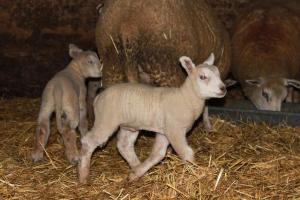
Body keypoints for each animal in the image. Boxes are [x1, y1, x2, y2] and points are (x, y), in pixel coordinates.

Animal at [78, 52, 226, 183]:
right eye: (203, 77)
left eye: (219, 74)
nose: (223, 88)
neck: (186, 98)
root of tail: (98, 97)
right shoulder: (175, 130)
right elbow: (186, 153)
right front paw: (196, 173)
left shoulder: (165, 132)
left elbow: (158, 154)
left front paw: (137, 173)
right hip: (106, 120)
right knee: (88, 141)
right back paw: (83, 176)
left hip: (129, 125)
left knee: (124, 145)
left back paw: (136, 168)